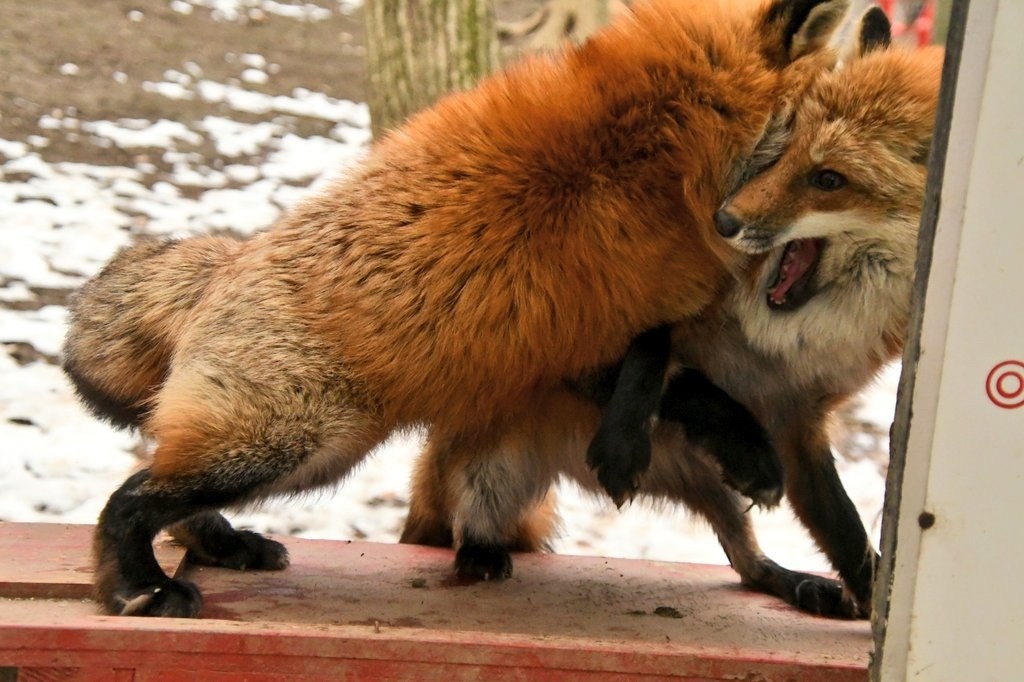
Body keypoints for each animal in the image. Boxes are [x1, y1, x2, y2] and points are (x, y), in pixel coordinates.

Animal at [61, 0, 847, 614]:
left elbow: (673, 374)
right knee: (130, 497)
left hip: (299, 452)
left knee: (164, 493)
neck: (658, 154)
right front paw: (740, 453)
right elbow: (689, 384)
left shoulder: (569, 348)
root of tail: (232, 258)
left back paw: (220, 546)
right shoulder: (578, 340)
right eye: (812, 144)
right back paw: (141, 586)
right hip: (294, 446)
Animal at [401, 9, 942, 614]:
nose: (725, 221)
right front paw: (628, 444)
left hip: (712, 490)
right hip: (492, 466)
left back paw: (799, 583)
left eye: (828, 179)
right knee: (470, 525)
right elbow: (668, 359)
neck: (788, 341)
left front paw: (871, 596)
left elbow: (844, 527)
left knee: (745, 559)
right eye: (779, 152)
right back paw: (480, 553)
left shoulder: (801, 419)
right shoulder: (583, 330)